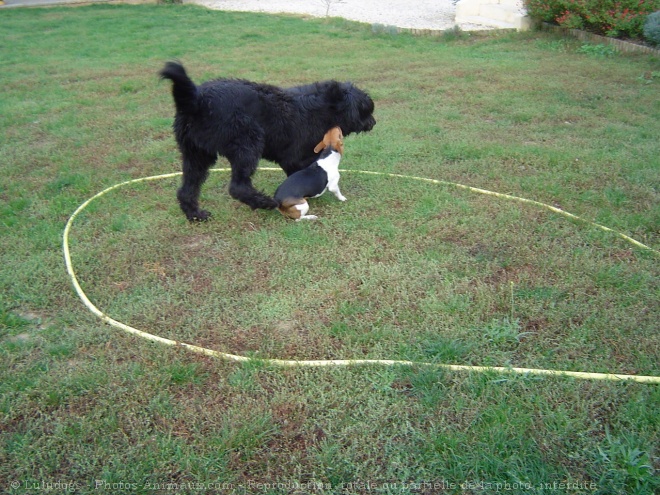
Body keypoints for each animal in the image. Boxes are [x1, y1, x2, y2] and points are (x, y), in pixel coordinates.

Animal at [160, 62, 376, 221]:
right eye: (366, 109)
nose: (373, 122)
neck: (322, 107)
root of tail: (197, 100)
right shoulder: (296, 158)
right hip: (247, 144)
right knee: (238, 187)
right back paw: (264, 203)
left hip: (196, 154)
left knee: (187, 189)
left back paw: (195, 215)